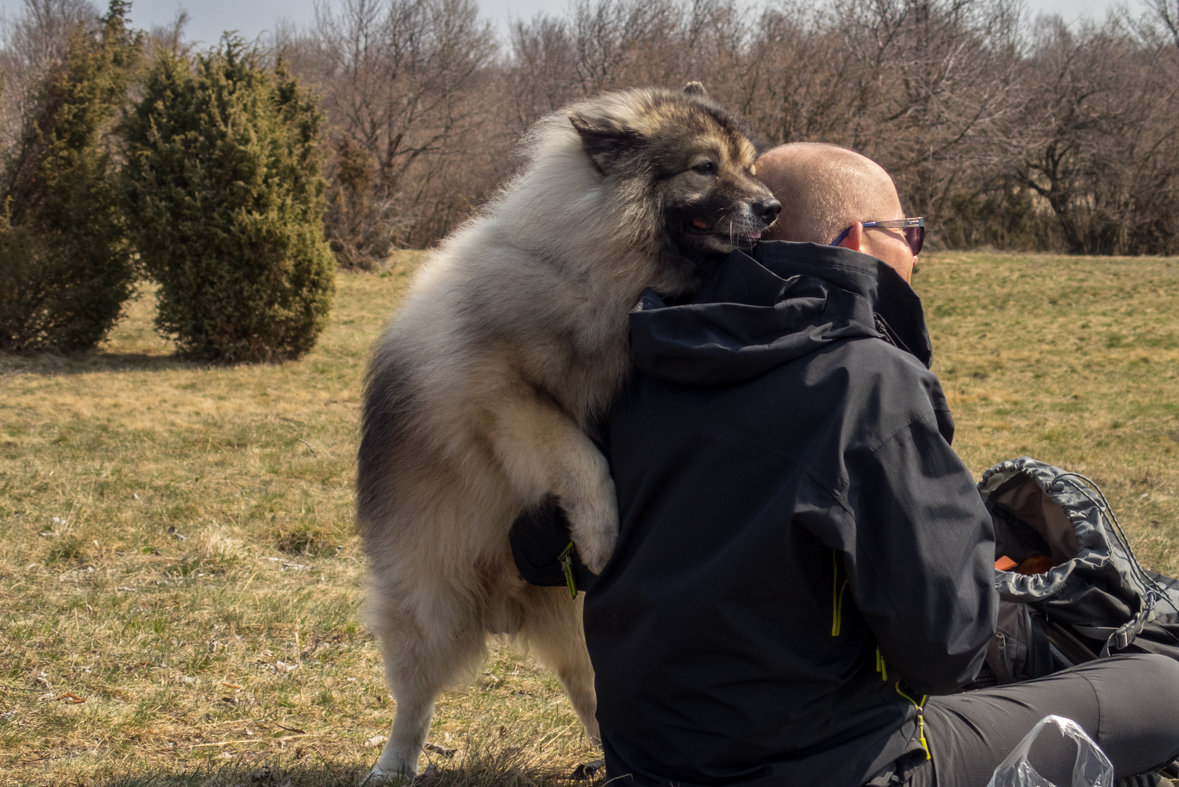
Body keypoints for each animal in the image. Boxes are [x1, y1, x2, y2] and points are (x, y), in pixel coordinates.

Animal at [358, 83, 782, 777]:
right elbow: (582, 458)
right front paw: (602, 535)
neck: (591, 263)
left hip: (580, 629)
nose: (772, 208)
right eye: (705, 167)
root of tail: (506, 601)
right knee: (413, 702)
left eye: (751, 165)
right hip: (428, 604)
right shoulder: (505, 399)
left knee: (591, 691)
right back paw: (393, 765)